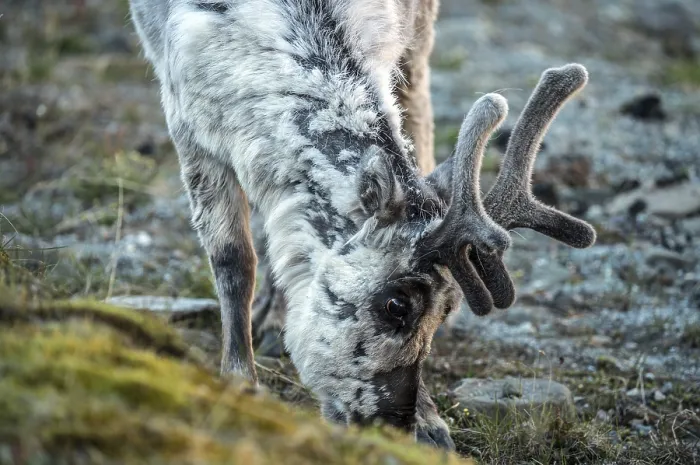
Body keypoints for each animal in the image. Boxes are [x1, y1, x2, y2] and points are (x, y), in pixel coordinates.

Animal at [127, 0, 596, 450]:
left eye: (448, 311)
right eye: (396, 305)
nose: (395, 426)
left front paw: (431, 423)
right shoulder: (188, 123)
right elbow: (233, 260)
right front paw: (240, 381)